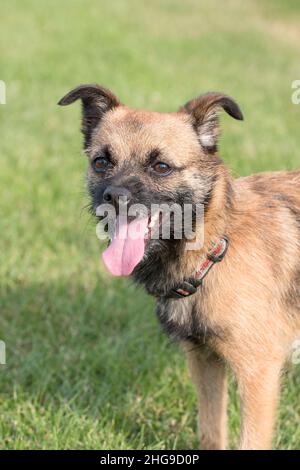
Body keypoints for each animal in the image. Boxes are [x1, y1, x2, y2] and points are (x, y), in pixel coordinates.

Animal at [58, 85, 300, 452]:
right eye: (101, 162)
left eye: (161, 166)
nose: (113, 196)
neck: (216, 248)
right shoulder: (204, 360)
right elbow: (211, 431)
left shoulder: (257, 373)